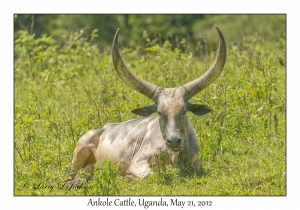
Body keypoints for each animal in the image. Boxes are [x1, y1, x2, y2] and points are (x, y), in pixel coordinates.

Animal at [65, 25, 225, 181]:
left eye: (184, 111)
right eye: (159, 112)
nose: (174, 141)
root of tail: (104, 127)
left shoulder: (196, 163)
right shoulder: (138, 161)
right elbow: (148, 175)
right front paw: (127, 177)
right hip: (81, 149)